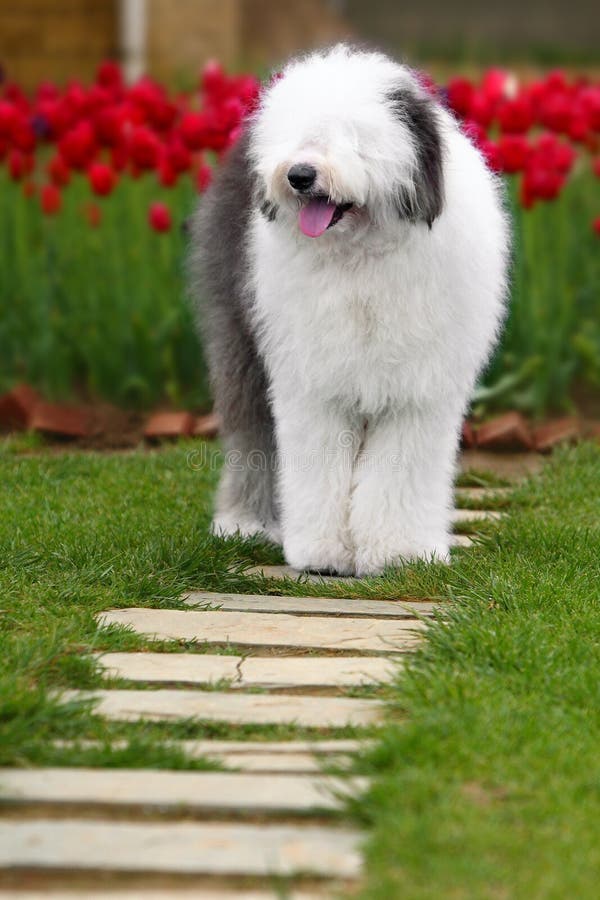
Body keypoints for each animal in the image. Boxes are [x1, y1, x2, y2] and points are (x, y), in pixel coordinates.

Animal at [190, 44, 508, 576]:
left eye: (354, 138)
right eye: (299, 134)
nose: (299, 175)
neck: (359, 257)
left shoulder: (417, 391)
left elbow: (400, 470)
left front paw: (399, 551)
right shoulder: (313, 383)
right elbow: (316, 464)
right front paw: (322, 553)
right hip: (240, 337)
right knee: (251, 433)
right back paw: (247, 523)